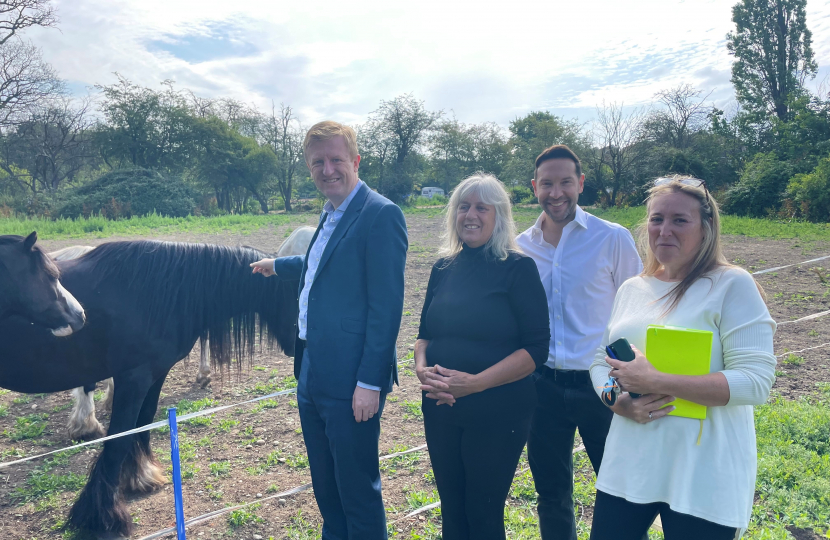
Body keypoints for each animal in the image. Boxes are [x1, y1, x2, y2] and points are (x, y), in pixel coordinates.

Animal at [0, 243, 300, 536]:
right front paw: (102, 517)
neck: (159, 293)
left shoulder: (155, 375)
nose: (297, 348)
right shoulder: (133, 379)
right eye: (297, 297)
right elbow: (119, 438)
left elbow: (142, 424)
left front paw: (139, 477)